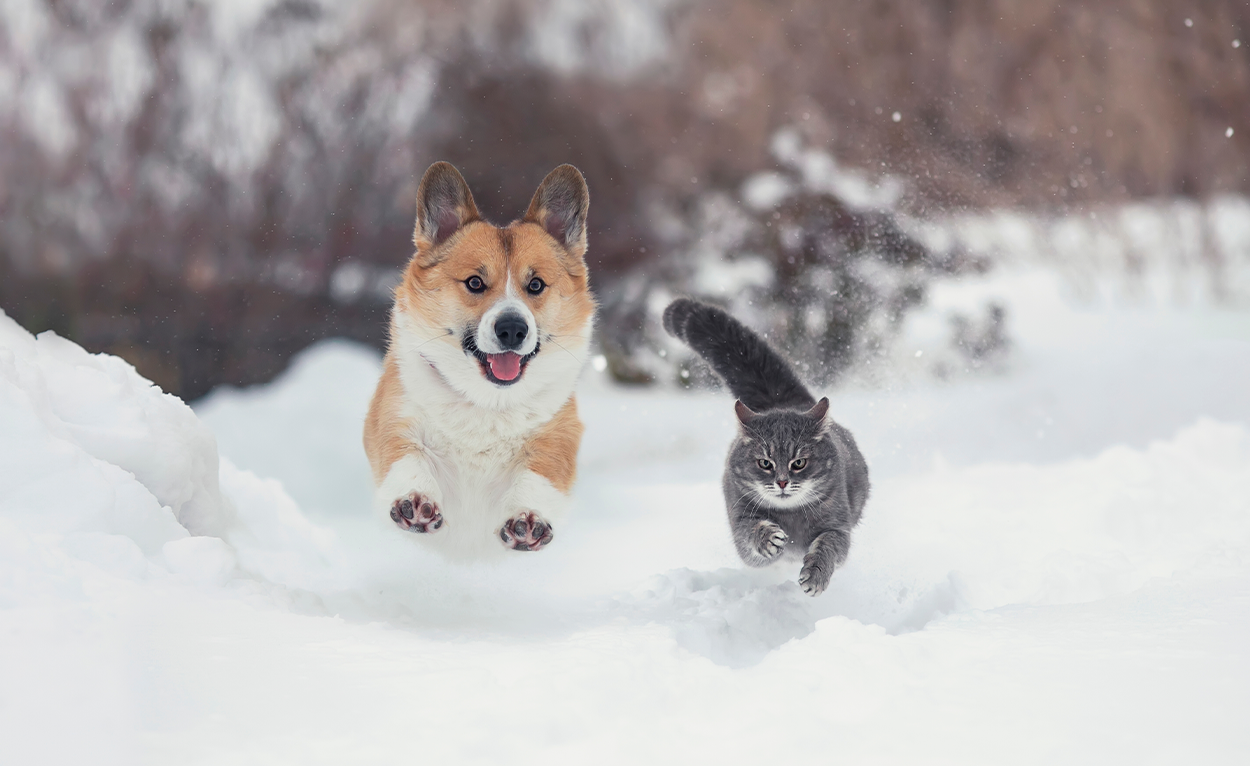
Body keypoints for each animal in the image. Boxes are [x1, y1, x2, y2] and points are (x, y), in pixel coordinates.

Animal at [362, 162, 595, 554]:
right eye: (474, 283)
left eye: (536, 285)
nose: (513, 329)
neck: (487, 402)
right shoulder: (395, 420)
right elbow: (407, 459)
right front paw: (415, 501)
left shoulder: (556, 436)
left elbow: (538, 476)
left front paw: (527, 518)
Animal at [665, 297, 870, 592]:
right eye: (765, 463)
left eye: (799, 463)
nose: (782, 481)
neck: (791, 517)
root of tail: (780, 402)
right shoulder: (740, 521)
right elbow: (751, 533)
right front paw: (769, 538)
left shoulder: (838, 527)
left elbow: (828, 547)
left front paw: (815, 574)